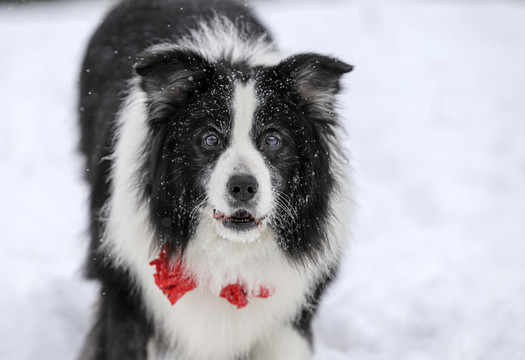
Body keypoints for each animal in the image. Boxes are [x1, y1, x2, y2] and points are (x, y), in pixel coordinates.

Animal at [79, 0, 352, 358]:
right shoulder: (128, 299)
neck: (230, 254)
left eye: (272, 139)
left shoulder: (287, 321)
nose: (243, 187)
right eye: (210, 139)